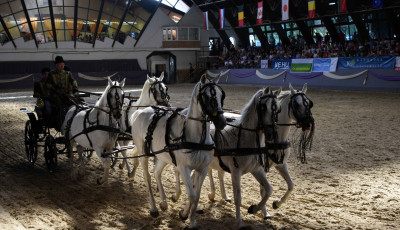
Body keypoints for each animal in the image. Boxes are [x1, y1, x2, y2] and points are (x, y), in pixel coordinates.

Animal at [130, 74, 227, 229]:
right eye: (206, 96)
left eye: (221, 95)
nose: (222, 122)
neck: (195, 137)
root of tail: (141, 111)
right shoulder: (183, 167)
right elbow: (192, 195)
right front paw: (186, 216)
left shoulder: (202, 169)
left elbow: (196, 196)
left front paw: (188, 218)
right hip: (144, 153)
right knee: (148, 177)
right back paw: (154, 209)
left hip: (163, 156)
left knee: (157, 172)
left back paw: (163, 203)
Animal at [208, 82, 314, 223]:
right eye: (296, 104)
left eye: (309, 103)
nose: (308, 124)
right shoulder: (261, 166)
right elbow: (263, 190)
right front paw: (263, 212)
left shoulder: (280, 164)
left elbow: (290, 185)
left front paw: (275, 204)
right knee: (209, 171)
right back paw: (212, 194)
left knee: (220, 173)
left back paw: (225, 196)